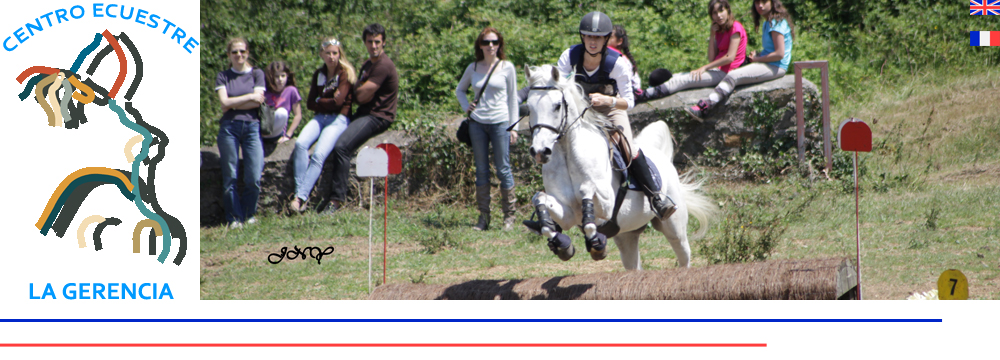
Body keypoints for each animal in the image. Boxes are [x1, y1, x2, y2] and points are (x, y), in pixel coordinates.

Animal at [524, 64, 720, 268]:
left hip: (674, 226)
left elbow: (587, 192)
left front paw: (596, 243)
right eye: (528, 108)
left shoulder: (607, 204)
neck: (567, 152)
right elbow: (540, 200)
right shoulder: (569, 214)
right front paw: (562, 244)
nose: (540, 151)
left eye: (557, 106)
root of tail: (662, 158)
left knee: (684, 256)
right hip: (627, 235)